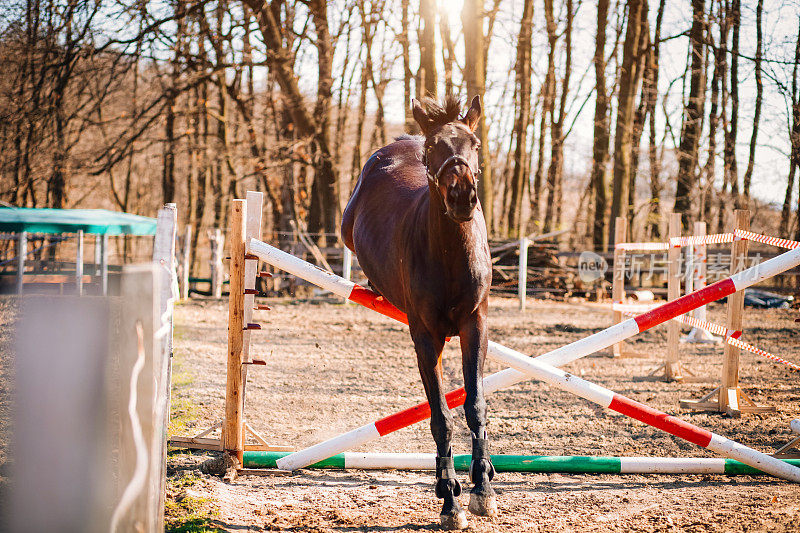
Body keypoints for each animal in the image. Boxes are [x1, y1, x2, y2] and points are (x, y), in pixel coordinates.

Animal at [342, 96, 494, 528]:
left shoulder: (475, 326)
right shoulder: (426, 337)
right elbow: (441, 416)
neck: (449, 256)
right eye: (433, 150)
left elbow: (474, 405)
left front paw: (482, 488)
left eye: (475, 144)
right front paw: (450, 499)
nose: (462, 196)